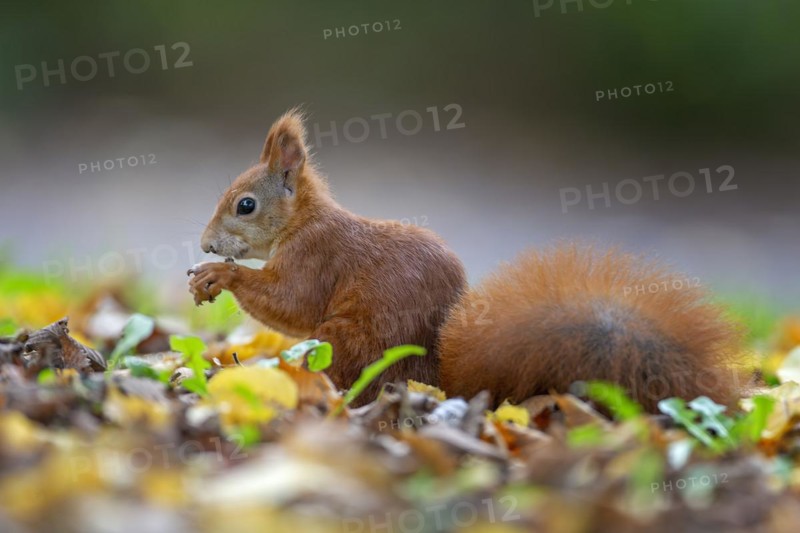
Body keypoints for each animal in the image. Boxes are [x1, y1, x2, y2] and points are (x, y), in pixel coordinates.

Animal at [188, 109, 744, 411]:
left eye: (245, 205)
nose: (205, 244)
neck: (302, 221)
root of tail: (436, 382)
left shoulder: (316, 256)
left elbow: (292, 303)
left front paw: (219, 275)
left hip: (346, 343)